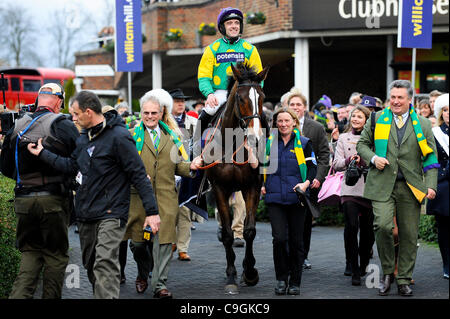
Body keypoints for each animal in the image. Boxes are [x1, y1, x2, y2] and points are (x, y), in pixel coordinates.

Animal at [204, 62, 270, 296]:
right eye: (241, 99)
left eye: (261, 97)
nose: (255, 137)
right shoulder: (219, 188)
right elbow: (228, 235)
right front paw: (231, 276)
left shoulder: (252, 186)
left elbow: (250, 231)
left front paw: (249, 272)